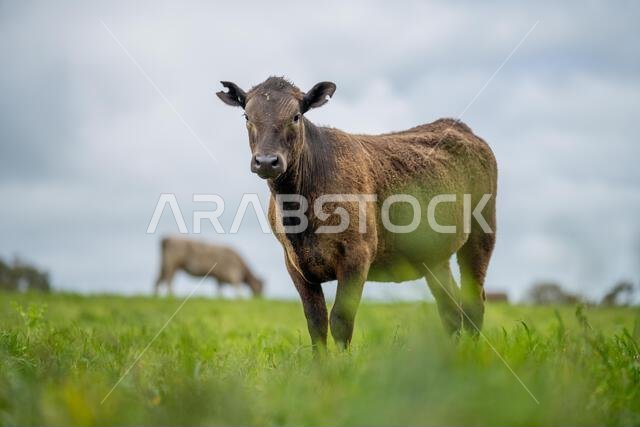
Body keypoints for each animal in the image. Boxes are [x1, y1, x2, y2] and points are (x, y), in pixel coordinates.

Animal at [217, 77, 497, 350]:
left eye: (295, 116)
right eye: (247, 116)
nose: (266, 161)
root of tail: (457, 125)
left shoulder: (358, 252)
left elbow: (340, 319)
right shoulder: (293, 261)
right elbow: (316, 321)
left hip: (482, 230)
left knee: (474, 300)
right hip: (434, 256)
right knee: (451, 308)